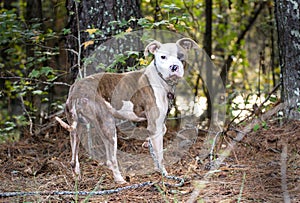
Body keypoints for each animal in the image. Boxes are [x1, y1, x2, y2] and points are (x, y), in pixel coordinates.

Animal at [56, 38, 198, 184]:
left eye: (181, 56)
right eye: (163, 57)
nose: (174, 67)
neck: (160, 79)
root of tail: (76, 90)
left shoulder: (156, 124)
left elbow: (162, 131)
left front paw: (147, 143)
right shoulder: (154, 124)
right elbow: (160, 155)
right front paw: (163, 173)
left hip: (76, 127)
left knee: (73, 159)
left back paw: (77, 178)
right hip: (108, 126)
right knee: (111, 159)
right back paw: (120, 180)